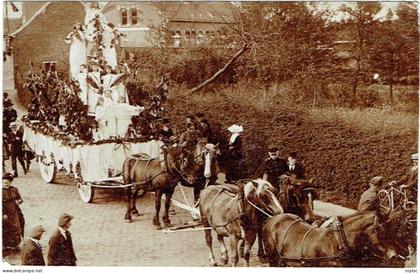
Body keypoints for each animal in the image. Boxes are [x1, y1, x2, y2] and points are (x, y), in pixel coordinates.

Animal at [264, 210, 402, 266]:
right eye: (379, 229)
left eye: (391, 228)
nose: (394, 255)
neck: (338, 240)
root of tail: (272, 219)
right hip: (272, 258)